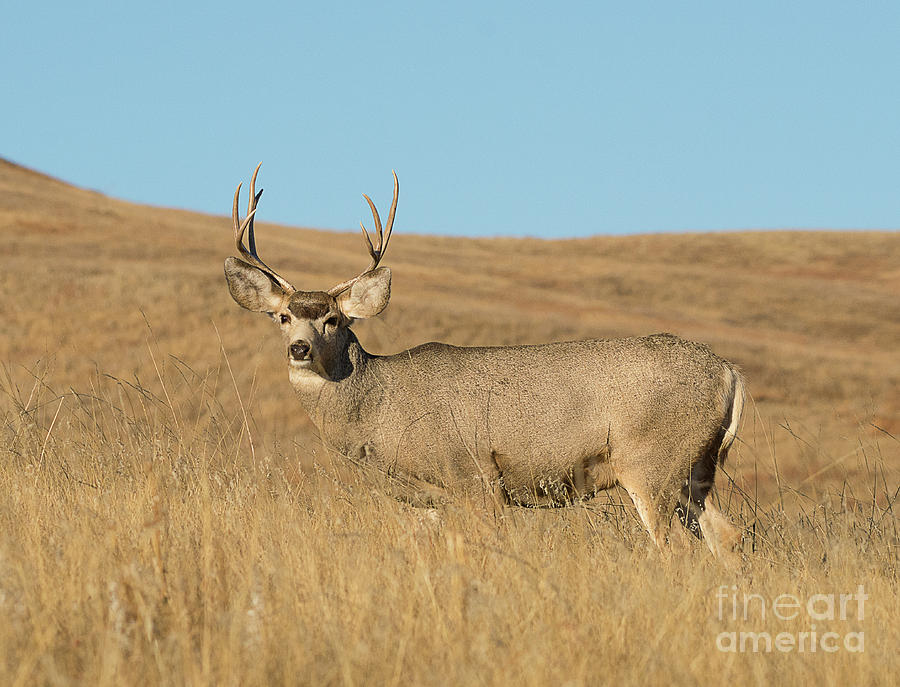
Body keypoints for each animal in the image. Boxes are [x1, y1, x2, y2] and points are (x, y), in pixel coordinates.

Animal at [225, 164, 744, 560]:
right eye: (283, 316)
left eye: (332, 319)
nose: (299, 348)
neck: (381, 407)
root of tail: (728, 372)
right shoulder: (428, 500)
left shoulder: (476, 475)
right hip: (697, 469)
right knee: (728, 536)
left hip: (651, 461)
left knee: (675, 546)